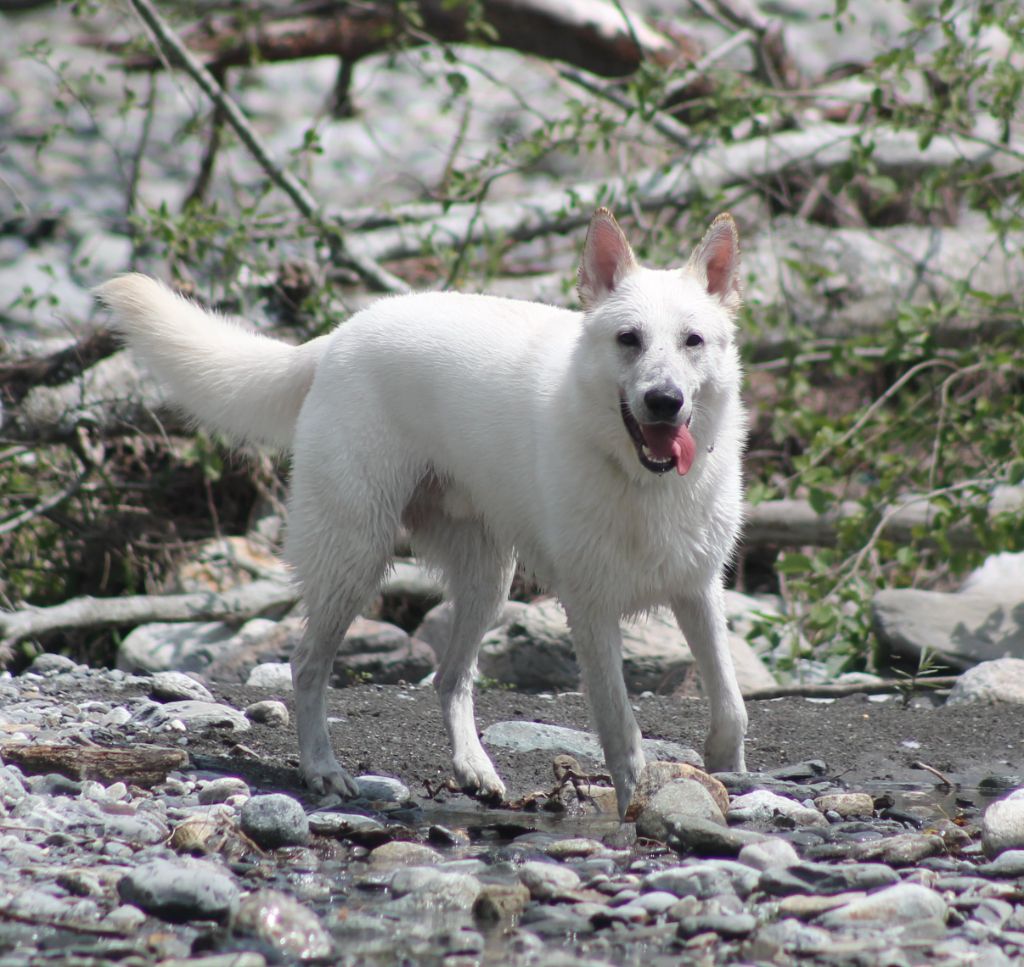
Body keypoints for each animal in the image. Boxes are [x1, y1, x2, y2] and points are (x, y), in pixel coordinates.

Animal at [96, 209, 749, 815]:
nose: (664, 402)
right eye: (628, 339)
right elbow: (621, 726)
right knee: (307, 665)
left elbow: (731, 701)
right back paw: (322, 769)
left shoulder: (698, 591)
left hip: (488, 580)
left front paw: (726, 769)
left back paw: (473, 768)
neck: (641, 480)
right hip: (355, 560)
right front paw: (636, 806)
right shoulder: (590, 612)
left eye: (692, 341)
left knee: (449, 677)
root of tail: (338, 335)